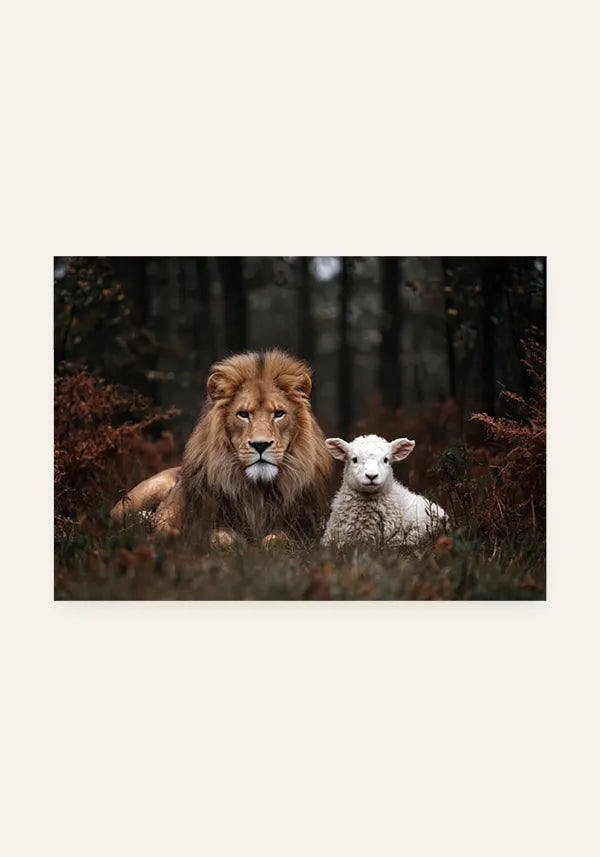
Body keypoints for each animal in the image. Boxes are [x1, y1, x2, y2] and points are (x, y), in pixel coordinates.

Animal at [110, 350, 333, 545]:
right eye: (243, 414)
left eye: (279, 414)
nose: (260, 445)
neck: (258, 491)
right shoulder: (205, 524)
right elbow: (221, 540)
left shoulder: (304, 530)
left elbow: (277, 540)